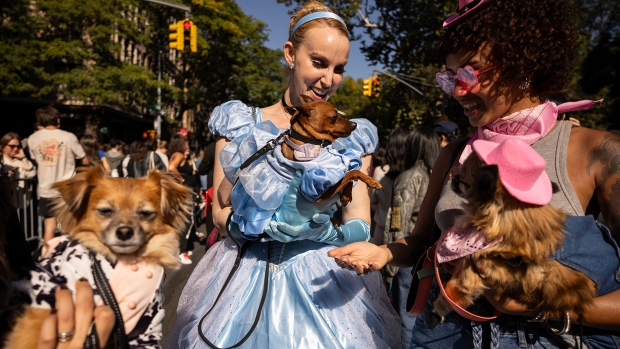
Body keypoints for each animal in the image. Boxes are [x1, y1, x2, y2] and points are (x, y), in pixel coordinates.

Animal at [5, 166, 191, 348]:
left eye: (145, 213)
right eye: (105, 211)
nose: (124, 231)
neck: (125, 259)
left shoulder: (148, 327)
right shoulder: (45, 303)